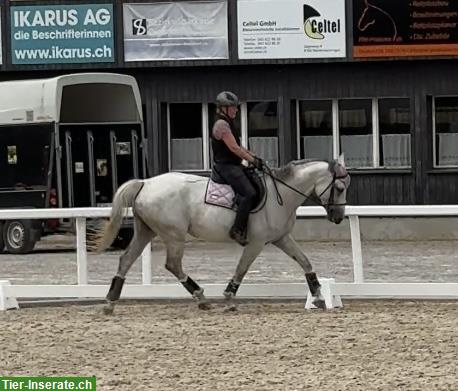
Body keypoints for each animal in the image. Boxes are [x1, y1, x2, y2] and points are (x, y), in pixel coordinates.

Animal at [93, 155, 350, 314]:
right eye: (339, 188)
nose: (338, 217)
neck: (282, 194)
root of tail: (145, 183)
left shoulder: (282, 238)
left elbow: (305, 261)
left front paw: (318, 296)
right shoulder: (256, 243)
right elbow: (242, 269)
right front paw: (228, 297)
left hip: (145, 231)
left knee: (126, 260)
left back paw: (110, 303)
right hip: (174, 235)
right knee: (172, 264)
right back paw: (201, 297)